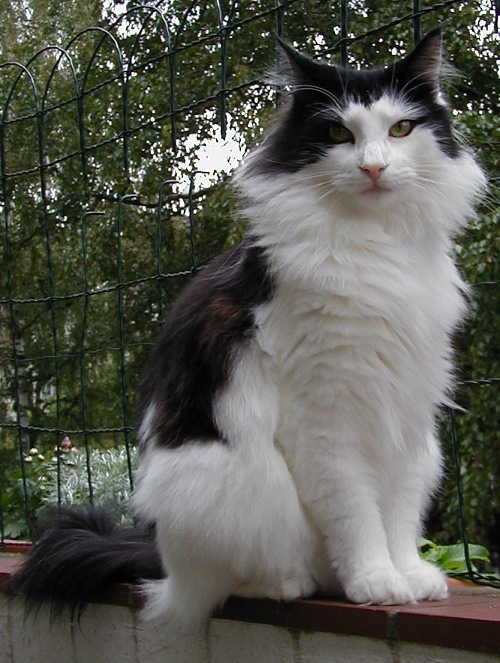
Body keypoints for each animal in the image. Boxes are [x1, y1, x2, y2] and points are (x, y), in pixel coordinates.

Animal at [13, 29, 486, 632]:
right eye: (339, 133)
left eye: (400, 129)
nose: (374, 168)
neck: (376, 246)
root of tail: (162, 560)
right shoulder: (326, 413)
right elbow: (355, 511)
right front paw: (376, 581)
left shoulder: (405, 411)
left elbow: (399, 513)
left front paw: (407, 574)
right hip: (226, 482)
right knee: (221, 586)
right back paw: (293, 584)